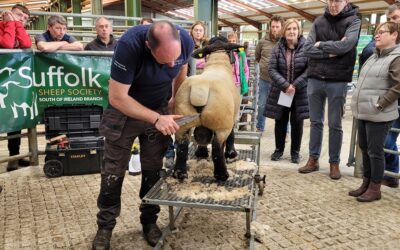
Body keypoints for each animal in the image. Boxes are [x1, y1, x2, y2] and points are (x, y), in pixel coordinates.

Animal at [173, 39, 241, 181]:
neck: (217, 63)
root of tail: (200, 89)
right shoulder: (233, 117)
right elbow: (232, 135)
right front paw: (231, 154)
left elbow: (201, 137)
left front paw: (201, 153)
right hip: (221, 125)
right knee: (217, 147)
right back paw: (222, 174)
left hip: (182, 122)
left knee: (182, 145)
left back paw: (180, 173)